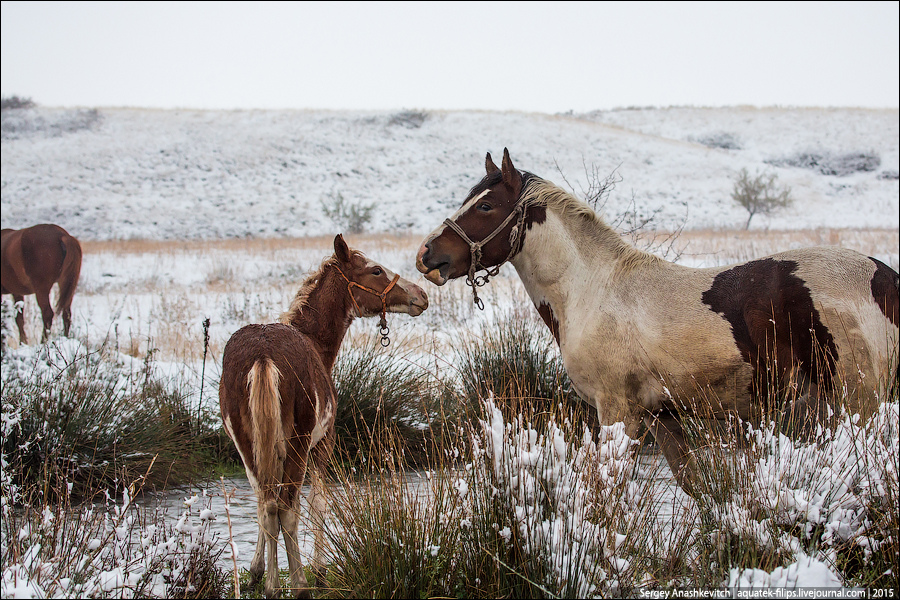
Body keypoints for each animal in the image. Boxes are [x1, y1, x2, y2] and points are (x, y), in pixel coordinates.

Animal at [220, 236, 428, 600]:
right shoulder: (323, 444)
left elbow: (261, 504)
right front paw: (318, 572)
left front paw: (256, 572)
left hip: (247, 443)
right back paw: (299, 584)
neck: (317, 344)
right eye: (376, 270)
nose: (421, 295)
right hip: (299, 444)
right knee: (287, 508)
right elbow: (318, 503)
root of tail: (262, 358)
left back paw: (271, 585)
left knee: (268, 504)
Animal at [416, 148, 900, 494]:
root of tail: (882, 275)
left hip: (859, 404)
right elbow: (698, 486)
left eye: (487, 206)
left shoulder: (617, 413)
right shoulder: (661, 416)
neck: (594, 288)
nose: (427, 255)